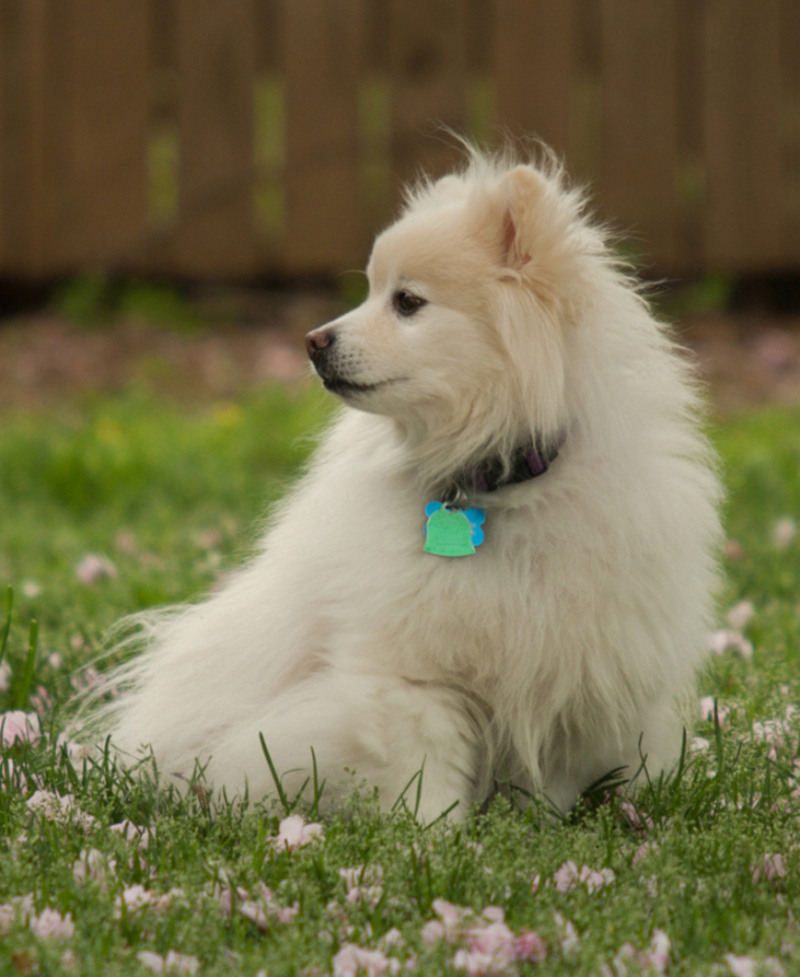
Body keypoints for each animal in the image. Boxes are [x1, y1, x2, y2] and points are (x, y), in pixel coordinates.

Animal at [98, 149, 720, 820]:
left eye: (408, 302)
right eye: (373, 292)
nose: (313, 340)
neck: (493, 484)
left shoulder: (571, 668)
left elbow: (548, 778)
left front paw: (534, 828)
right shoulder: (410, 676)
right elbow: (427, 770)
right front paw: (434, 833)